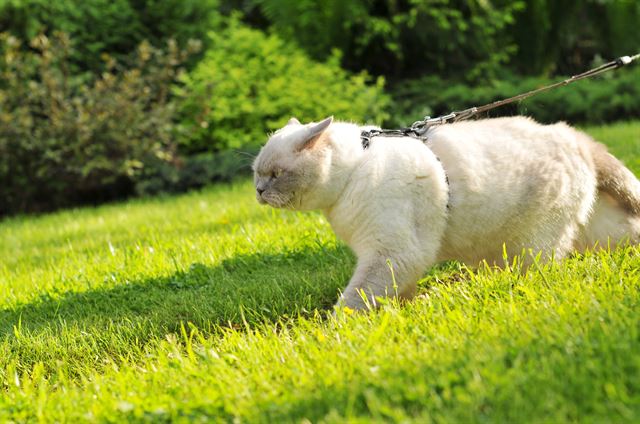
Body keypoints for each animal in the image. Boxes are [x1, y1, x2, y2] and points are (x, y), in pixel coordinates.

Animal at [251, 116, 640, 308]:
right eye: (257, 172)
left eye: (276, 174)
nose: (258, 191)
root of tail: (576, 136)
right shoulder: (394, 257)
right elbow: (396, 292)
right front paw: (403, 312)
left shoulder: (391, 251)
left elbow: (354, 300)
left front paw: (338, 330)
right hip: (596, 232)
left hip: (530, 245)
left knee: (538, 271)